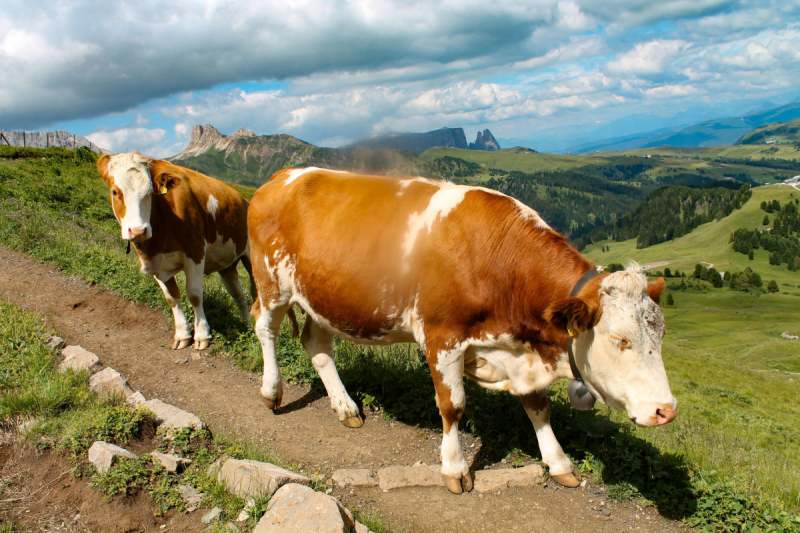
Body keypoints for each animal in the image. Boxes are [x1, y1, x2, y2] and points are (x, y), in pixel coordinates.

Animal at [97, 153, 255, 350]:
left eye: (150, 192)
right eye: (115, 192)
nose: (139, 231)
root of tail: (245, 201)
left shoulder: (195, 252)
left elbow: (194, 294)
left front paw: (202, 335)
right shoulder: (154, 263)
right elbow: (172, 297)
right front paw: (182, 335)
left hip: (251, 257)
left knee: (255, 292)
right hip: (227, 264)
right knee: (238, 295)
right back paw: (247, 326)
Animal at [248, 167, 676, 494]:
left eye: (659, 336)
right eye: (620, 340)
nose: (666, 410)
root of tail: (282, 176)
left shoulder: (523, 347)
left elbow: (538, 407)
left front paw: (559, 463)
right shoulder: (443, 337)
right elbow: (453, 405)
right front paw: (455, 469)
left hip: (322, 297)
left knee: (317, 344)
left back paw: (346, 407)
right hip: (272, 284)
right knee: (263, 327)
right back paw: (272, 391)